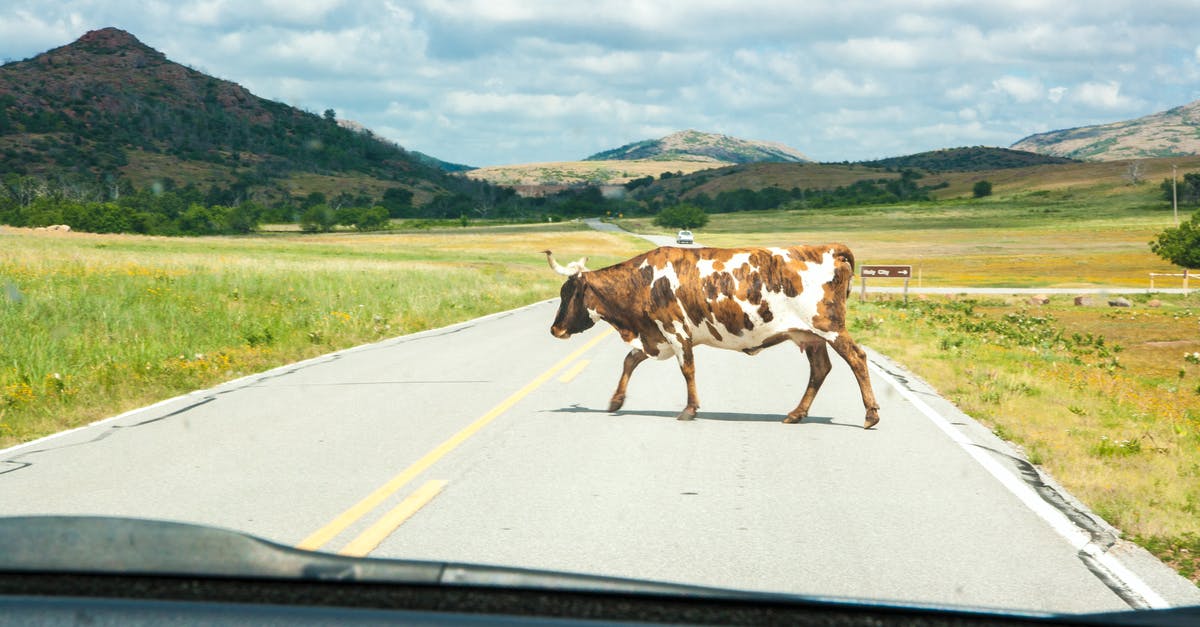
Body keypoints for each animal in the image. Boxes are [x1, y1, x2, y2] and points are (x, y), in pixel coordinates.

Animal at [544, 241, 883, 427]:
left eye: (567, 293)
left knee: (857, 358)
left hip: (829, 327)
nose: (555, 329)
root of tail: (830, 248)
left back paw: (870, 415)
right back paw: (797, 413)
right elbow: (630, 360)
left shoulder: (675, 331)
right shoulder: (654, 337)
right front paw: (616, 401)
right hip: (809, 336)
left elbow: (687, 369)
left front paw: (689, 409)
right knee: (820, 369)